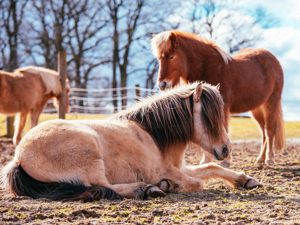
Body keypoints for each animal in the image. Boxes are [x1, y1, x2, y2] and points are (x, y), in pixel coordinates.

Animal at [0, 81, 260, 201]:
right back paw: (147, 188)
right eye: (209, 117)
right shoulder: (165, 170)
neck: (154, 135)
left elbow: (211, 168)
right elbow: (197, 183)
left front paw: (246, 180)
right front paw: (170, 185)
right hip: (90, 154)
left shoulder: (180, 167)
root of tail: (18, 158)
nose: (226, 149)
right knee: (101, 186)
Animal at [151, 30, 284, 165]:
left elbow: (222, 129)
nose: (162, 84)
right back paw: (260, 159)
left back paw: (269, 158)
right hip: (257, 109)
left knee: (269, 130)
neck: (208, 67)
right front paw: (206, 161)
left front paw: (226, 161)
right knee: (263, 132)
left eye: (172, 56)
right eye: (159, 58)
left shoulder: (222, 107)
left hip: (271, 103)